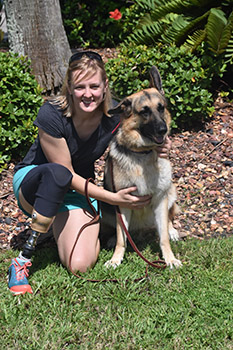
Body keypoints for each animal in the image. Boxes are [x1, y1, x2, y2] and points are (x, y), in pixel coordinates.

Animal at [103, 66, 181, 268]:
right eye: (144, 111)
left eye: (161, 108)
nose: (163, 130)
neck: (143, 153)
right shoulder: (122, 203)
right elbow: (122, 238)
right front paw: (115, 259)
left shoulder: (160, 200)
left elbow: (163, 238)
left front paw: (170, 258)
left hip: (170, 193)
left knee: (168, 219)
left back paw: (172, 230)